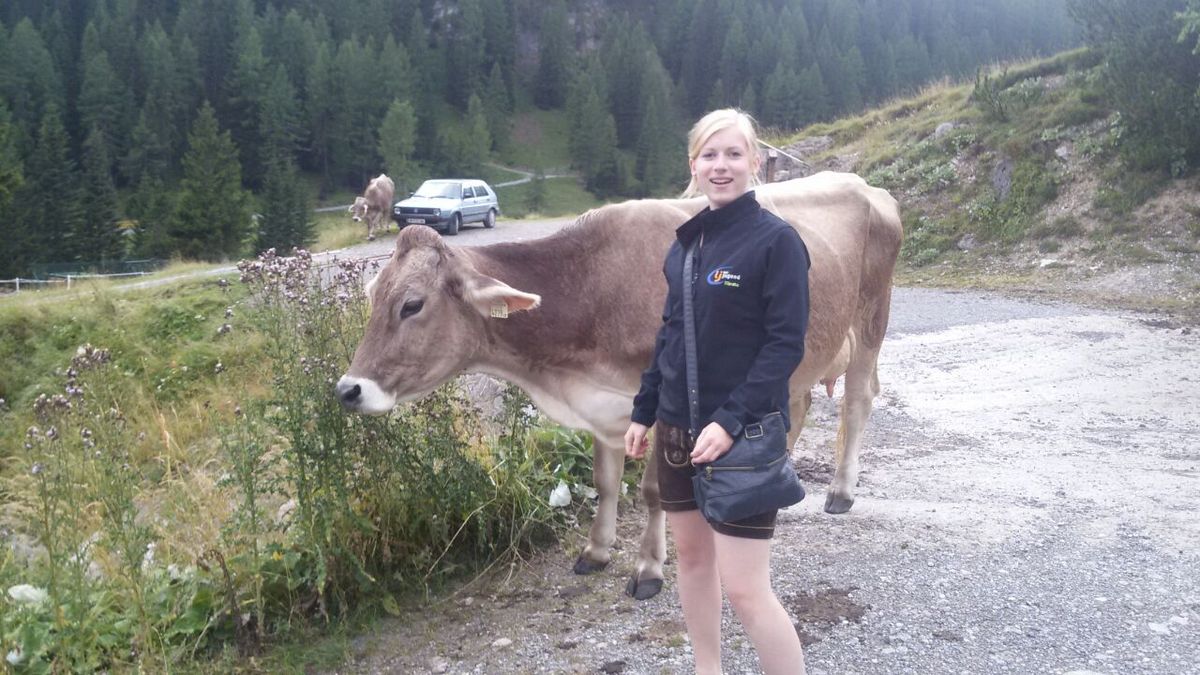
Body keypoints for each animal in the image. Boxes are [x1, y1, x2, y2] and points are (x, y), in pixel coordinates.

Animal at [335, 172, 902, 600]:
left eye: (412, 305)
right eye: (373, 296)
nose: (347, 390)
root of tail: (866, 185)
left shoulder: (660, 398)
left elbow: (652, 492)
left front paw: (648, 568)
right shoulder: (604, 407)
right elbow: (606, 482)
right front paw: (596, 550)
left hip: (871, 321)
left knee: (857, 401)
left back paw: (840, 491)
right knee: (795, 404)